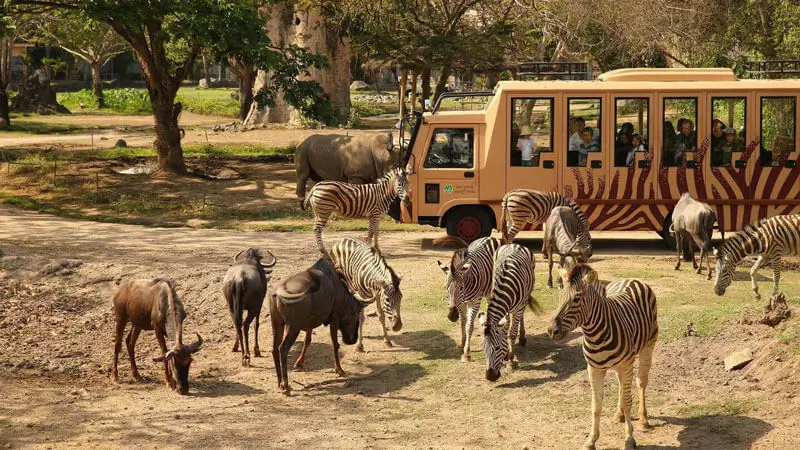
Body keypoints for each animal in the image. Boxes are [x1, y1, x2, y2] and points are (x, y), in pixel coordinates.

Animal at [292, 237, 403, 368]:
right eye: (387, 299)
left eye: (401, 297)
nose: (398, 326)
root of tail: (342, 238)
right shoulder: (362, 294)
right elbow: (361, 318)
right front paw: (359, 346)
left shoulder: (377, 294)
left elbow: (381, 316)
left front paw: (387, 341)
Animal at [482, 243, 540, 382]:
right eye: (483, 348)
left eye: (497, 348)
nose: (490, 377)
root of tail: (514, 244)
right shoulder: (505, 310)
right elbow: (506, 330)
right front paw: (507, 355)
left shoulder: (519, 307)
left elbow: (512, 333)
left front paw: (511, 361)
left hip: (526, 297)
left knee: (521, 317)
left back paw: (522, 337)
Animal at [548, 264, 658, 450]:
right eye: (560, 297)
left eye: (577, 299)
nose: (551, 331)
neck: (595, 335)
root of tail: (632, 279)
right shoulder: (594, 369)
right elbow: (596, 406)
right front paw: (591, 440)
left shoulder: (625, 365)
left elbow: (628, 401)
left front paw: (629, 439)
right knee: (622, 386)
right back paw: (619, 414)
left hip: (647, 347)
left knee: (641, 382)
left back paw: (643, 420)